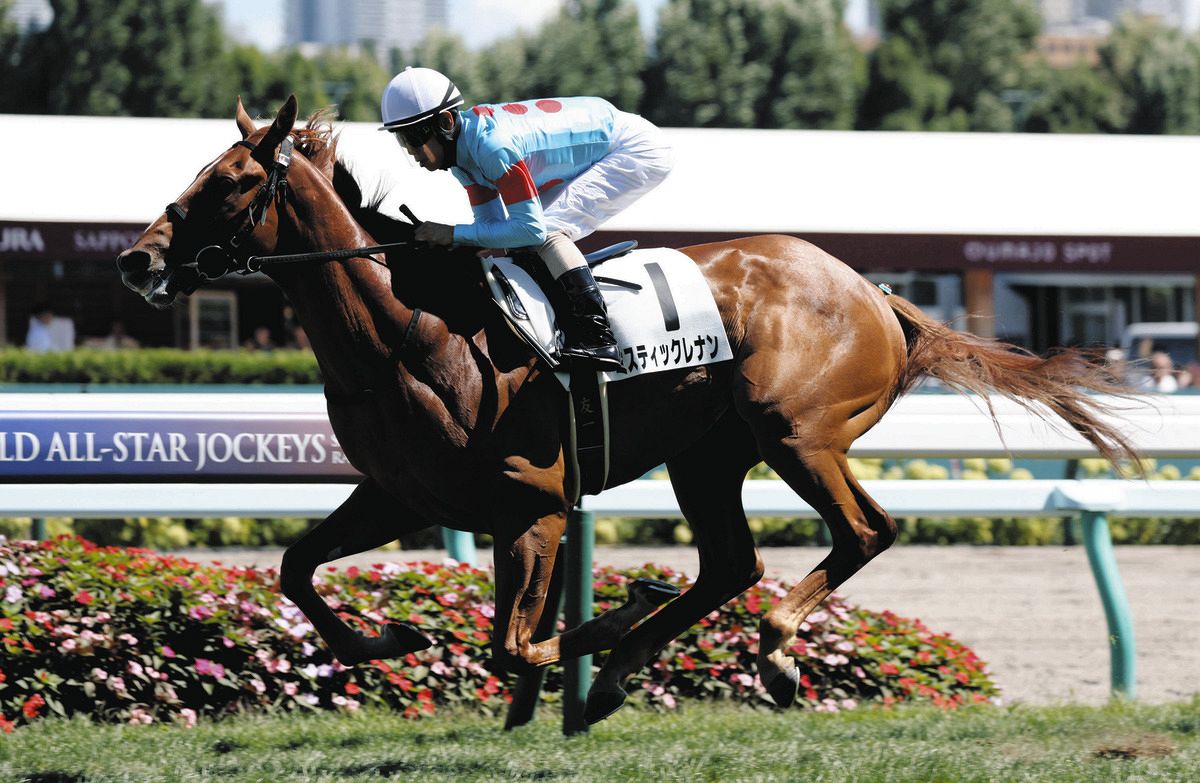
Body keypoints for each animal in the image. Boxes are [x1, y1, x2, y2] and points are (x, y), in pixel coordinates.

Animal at [117, 96, 1138, 724]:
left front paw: (598, 625)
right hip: (707, 453)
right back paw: (623, 668)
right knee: (731, 562)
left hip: (795, 430)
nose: (138, 259)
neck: (407, 332)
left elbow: (512, 641)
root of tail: (876, 291)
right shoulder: (404, 494)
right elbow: (297, 570)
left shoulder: (532, 503)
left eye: (231, 183)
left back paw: (769, 650)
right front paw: (396, 634)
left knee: (864, 530)